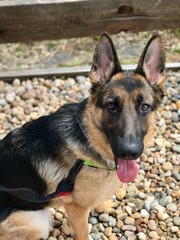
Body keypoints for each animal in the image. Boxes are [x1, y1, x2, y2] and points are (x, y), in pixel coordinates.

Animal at [0, 32, 166, 240]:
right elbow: (83, 233)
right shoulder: (76, 209)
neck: (89, 141)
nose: (129, 152)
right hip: (37, 223)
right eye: (111, 106)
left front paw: (103, 205)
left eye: (144, 107)